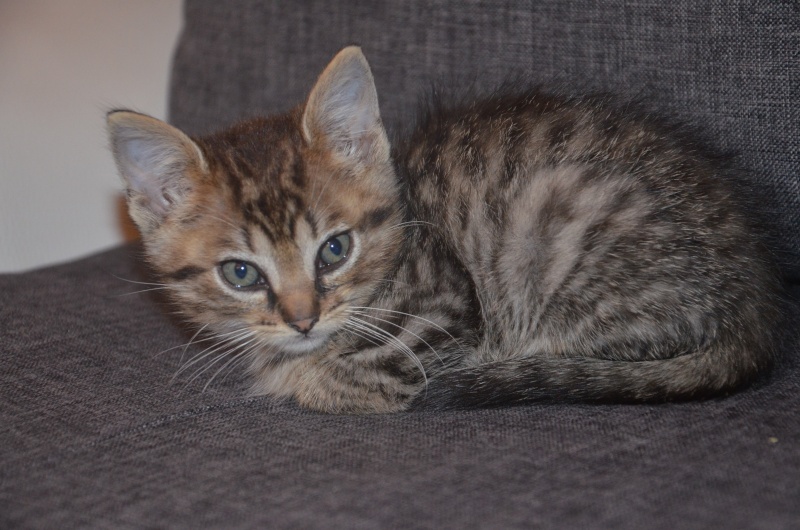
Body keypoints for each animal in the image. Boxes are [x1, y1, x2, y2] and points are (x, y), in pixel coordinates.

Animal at [108, 45, 780, 412]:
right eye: (242, 274)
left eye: (335, 250)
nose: (302, 320)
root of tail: (751, 302)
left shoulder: (442, 319)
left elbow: (335, 378)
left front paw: (292, 375)